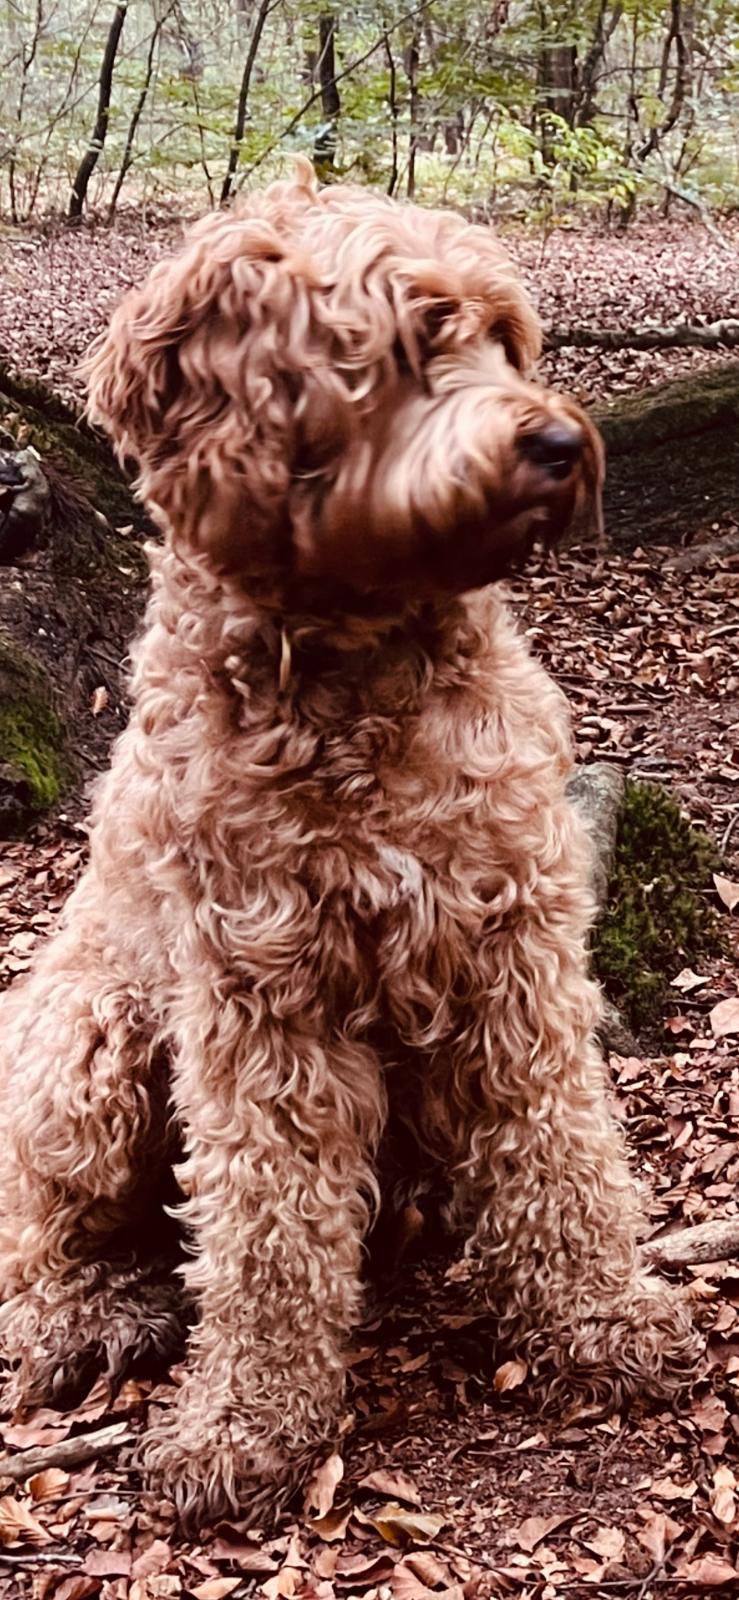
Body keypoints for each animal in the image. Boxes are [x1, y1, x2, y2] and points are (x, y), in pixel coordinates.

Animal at [0, 162, 697, 1523]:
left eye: (507, 337)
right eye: (412, 337)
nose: (555, 441)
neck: (360, 666)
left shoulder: (515, 941)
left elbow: (560, 1141)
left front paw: (598, 1314)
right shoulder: (257, 995)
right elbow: (265, 1224)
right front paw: (247, 1422)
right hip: (85, 1036)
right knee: (38, 1233)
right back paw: (89, 1315)